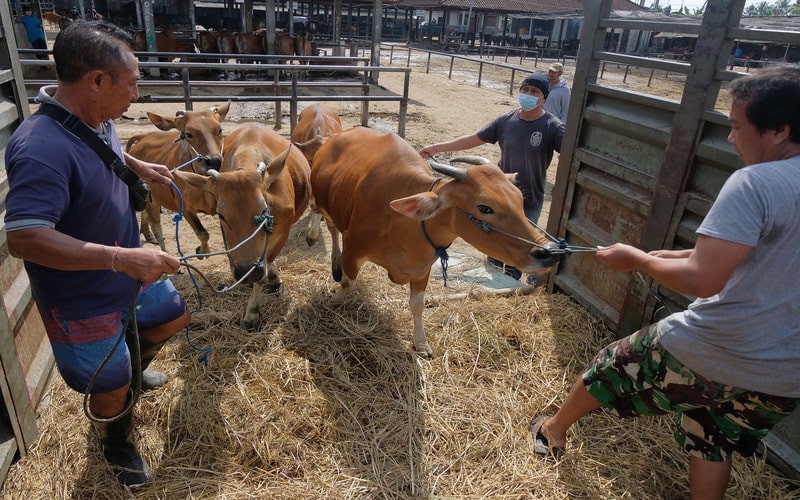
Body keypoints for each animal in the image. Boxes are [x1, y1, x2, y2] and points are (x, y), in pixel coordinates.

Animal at [125, 103, 230, 256]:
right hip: (153, 198)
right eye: (189, 134)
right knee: (156, 225)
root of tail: (143, 137)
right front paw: (201, 251)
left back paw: (148, 236)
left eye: (219, 130)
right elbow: (203, 233)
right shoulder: (185, 208)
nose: (214, 161)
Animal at [310, 127, 564, 358]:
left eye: (520, 199)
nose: (550, 251)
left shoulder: (422, 269)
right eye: (484, 208)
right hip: (324, 205)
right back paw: (330, 257)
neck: (403, 223)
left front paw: (421, 343)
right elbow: (348, 283)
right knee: (331, 228)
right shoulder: (353, 248)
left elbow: (417, 305)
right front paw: (334, 300)